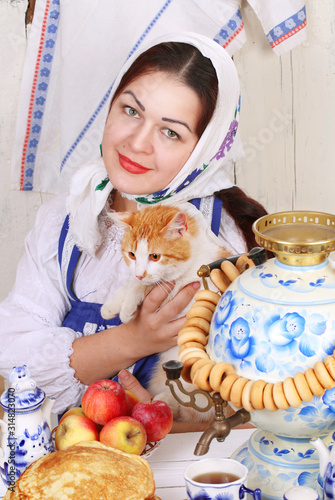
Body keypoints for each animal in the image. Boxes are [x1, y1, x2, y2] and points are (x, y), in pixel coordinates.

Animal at [100, 203, 231, 422]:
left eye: (155, 256)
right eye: (132, 254)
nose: (140, 272)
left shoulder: (188, 285)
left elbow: (145, 284)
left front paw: (127, 307)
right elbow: (134, 281)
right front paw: (112, 306)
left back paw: (166, 402)